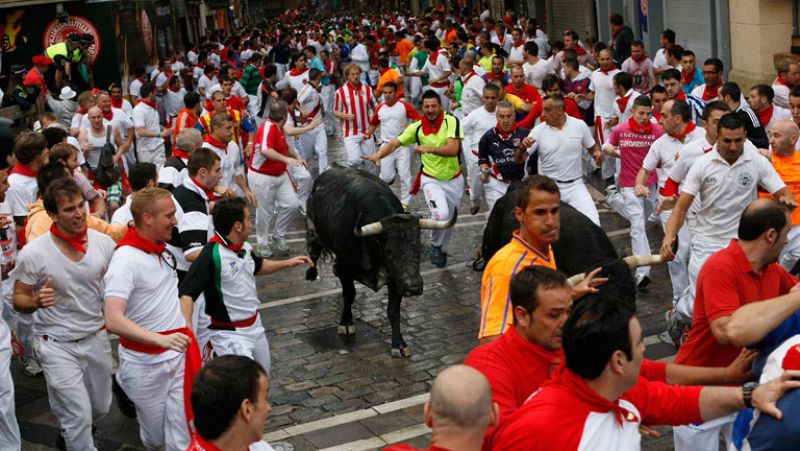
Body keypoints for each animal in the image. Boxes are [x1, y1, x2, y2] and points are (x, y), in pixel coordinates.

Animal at [304, 168, 456, 358]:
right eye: (389, 250)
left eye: (418, 248)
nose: (414, 287)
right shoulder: (345, 268)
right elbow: (349, 295)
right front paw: (346, 323)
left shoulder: (397, 279)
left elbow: (394, 312)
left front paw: (399, 344)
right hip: (314, 231)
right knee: (314, 252)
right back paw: (311, 273)